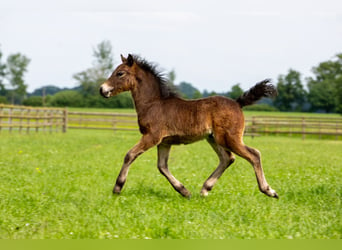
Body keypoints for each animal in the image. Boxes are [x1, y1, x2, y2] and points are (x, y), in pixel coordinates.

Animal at [98, 54, 278, 199]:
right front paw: (184, 191)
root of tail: (237, 103)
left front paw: (117, 187)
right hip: (214, 138)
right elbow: (162, 166)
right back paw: (205, 189)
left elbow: (130, 155)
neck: (153, 103)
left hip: (229, 138)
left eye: (120, 73)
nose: (102, 89)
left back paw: (269, 191)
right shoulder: (165, 142)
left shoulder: (152, 136)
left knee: (254, 154)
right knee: (227, 158)